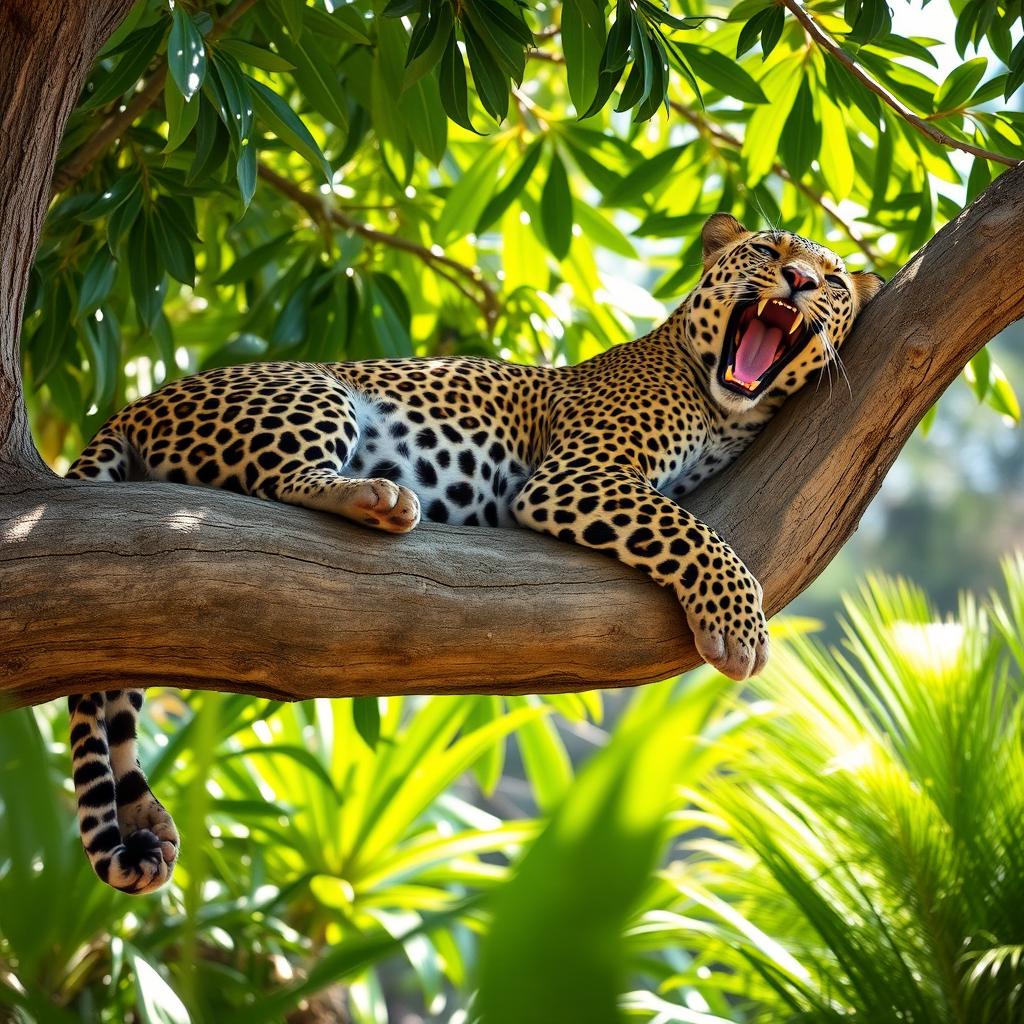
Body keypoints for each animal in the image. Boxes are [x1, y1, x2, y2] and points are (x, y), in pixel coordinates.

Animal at [64, 213, 883, 894]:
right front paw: (741, 632)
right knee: (285, 480)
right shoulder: (578, 472)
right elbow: (691, 530)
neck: (721, 405)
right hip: (313, 388)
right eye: (769, 251)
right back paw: (379, 498)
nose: (801, 282)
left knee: (118, 685)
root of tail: (130, 406)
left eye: (836, 281)